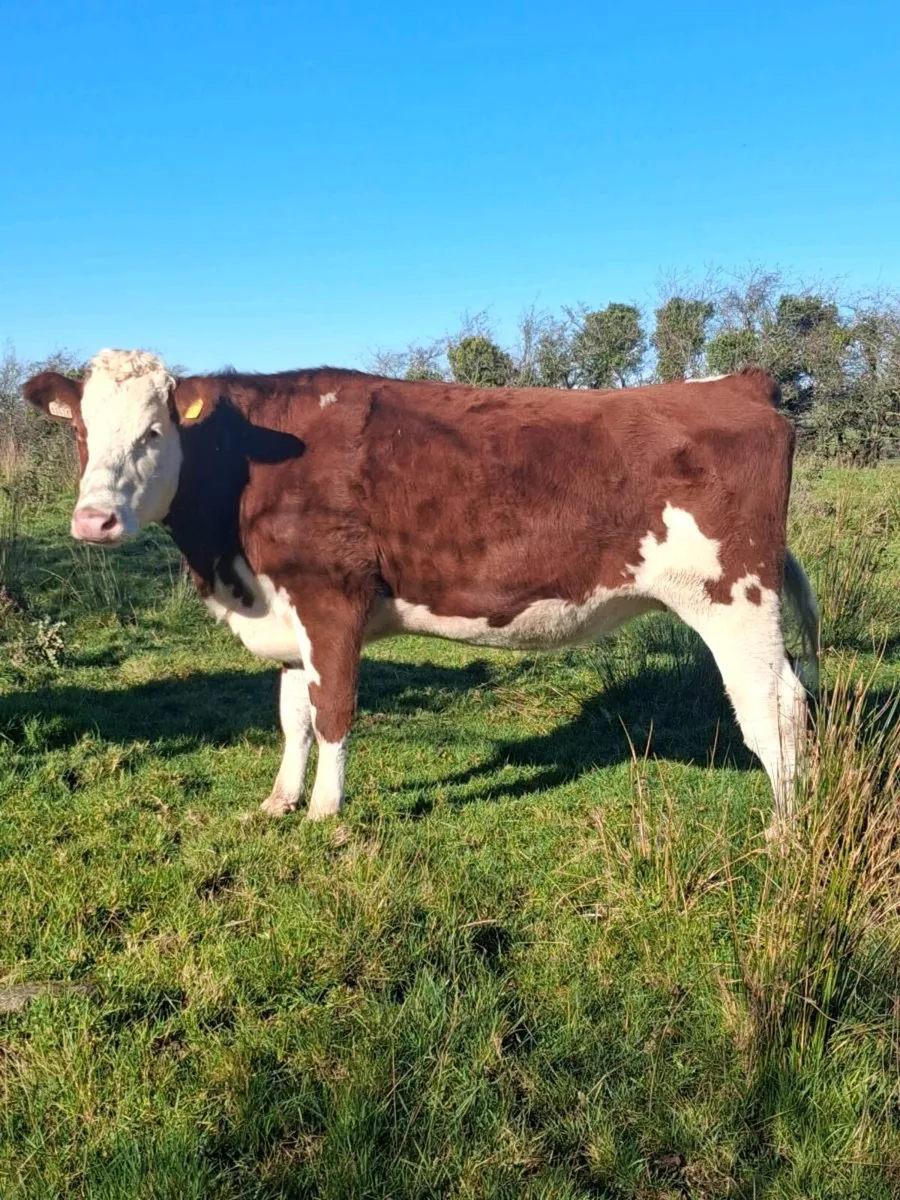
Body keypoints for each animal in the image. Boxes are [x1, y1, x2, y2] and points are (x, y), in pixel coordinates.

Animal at [24, 350, 819, 838]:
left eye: (154, 432)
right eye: (83, 433)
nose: (93, 520)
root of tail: (736, 382)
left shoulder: (331, 597)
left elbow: (334, 711)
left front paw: (325, 814)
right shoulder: (286, 612)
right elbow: (292, 717)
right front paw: (278, 802)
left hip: (734, 595)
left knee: (775, 705)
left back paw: (784, 830)